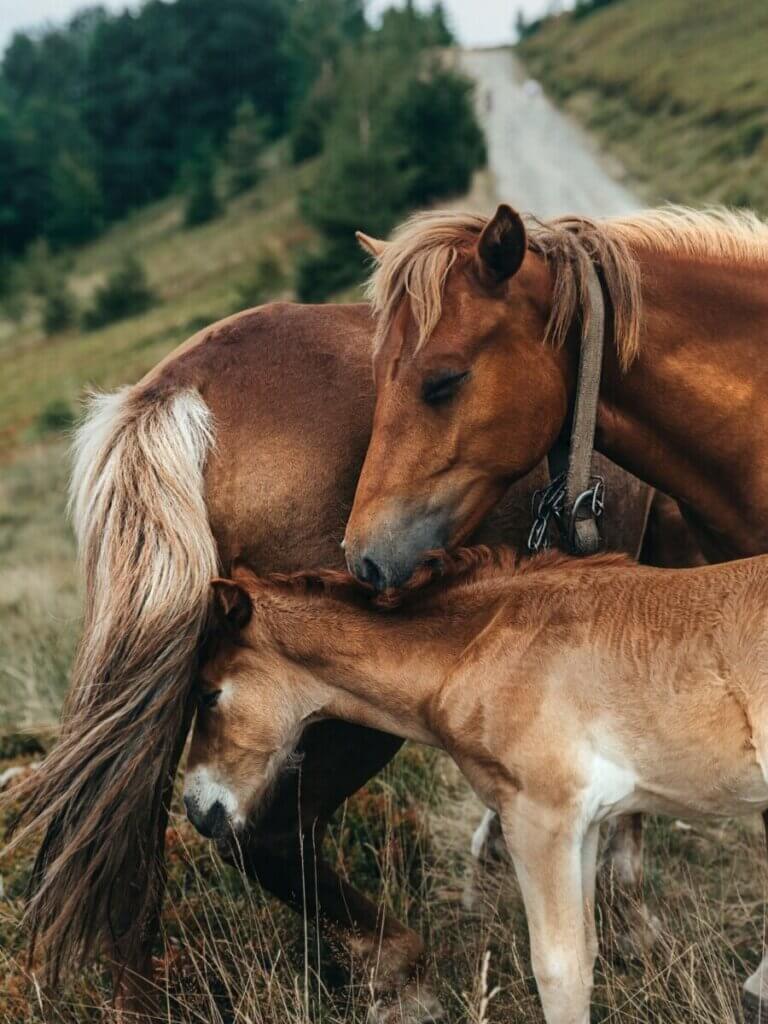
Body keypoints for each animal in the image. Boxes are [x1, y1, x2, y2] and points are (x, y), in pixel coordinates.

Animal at [187, 547, 768, 1024]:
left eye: (208, 694)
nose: (196, 807)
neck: (479, 648)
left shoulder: (539, 818)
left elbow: (558, 972)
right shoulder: (584, 825)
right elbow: (586, 951)